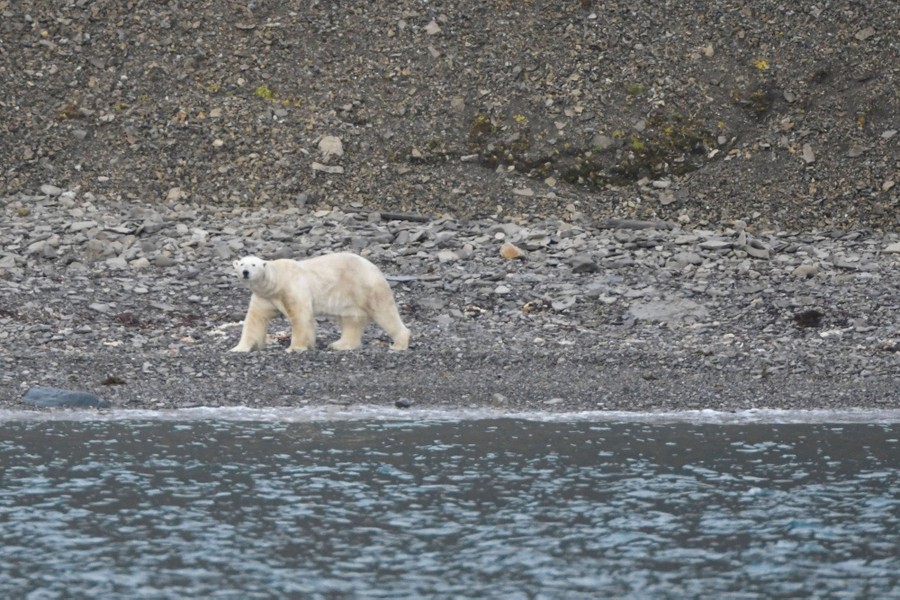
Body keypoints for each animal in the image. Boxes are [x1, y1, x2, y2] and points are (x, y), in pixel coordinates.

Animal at [230, 253, 411, 353]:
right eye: (241, 264)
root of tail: (375, 267)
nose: (245, 272)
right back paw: (340, 344)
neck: (276, 282)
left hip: (366, 286)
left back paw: (399, 344)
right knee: (351, 320)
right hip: (349, 296)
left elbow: (301, 316)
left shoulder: (293, 288)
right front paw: (239, 348)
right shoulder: (264, 297)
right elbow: (255, 320)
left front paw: (294, 347)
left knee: (384, 312)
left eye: (253, 264)